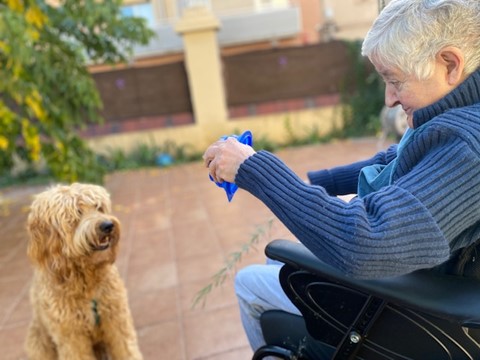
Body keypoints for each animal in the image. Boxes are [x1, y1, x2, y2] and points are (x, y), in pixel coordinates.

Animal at [24, 184, 141, 358]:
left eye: (99, 207)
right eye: (77, 213)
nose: (108, 225)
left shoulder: (116, 318)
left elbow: (127, 349)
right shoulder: (71, 335)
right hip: (37, 341)